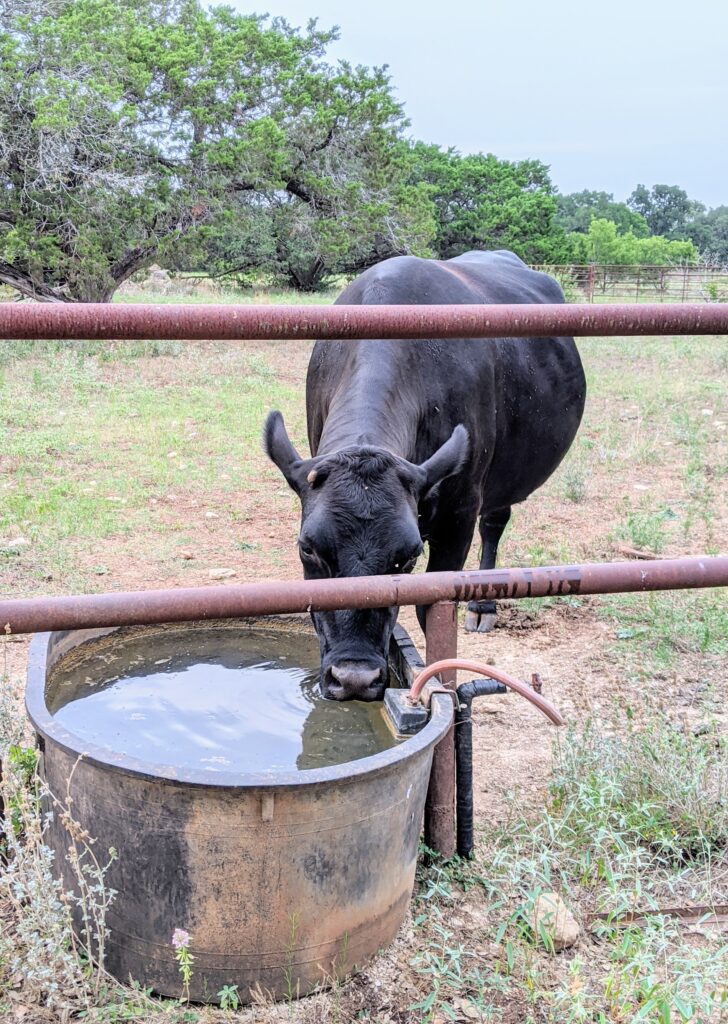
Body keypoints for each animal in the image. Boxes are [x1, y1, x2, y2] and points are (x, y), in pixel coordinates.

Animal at [264, 250, 585, 700]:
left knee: (495, 524)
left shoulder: (459, 514)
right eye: (308, 548)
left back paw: (483, 607)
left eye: (408, 556)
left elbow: (429, 610)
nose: (354, 677)